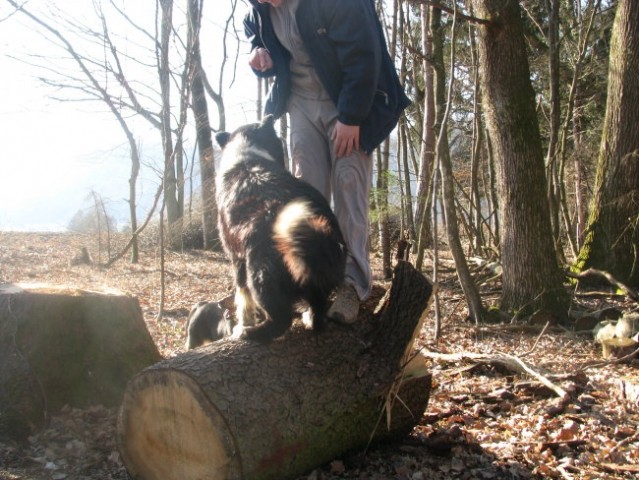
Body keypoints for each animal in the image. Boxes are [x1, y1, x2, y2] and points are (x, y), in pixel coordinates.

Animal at [215, 115, 348, 344]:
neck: (247, 152)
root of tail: (317, 242)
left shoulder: (236, 258)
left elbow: (242, 296)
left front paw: (244, 321)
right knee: (318, 310)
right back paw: (310, 318)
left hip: (259, 274)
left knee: (280, 320)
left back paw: (249, 332)